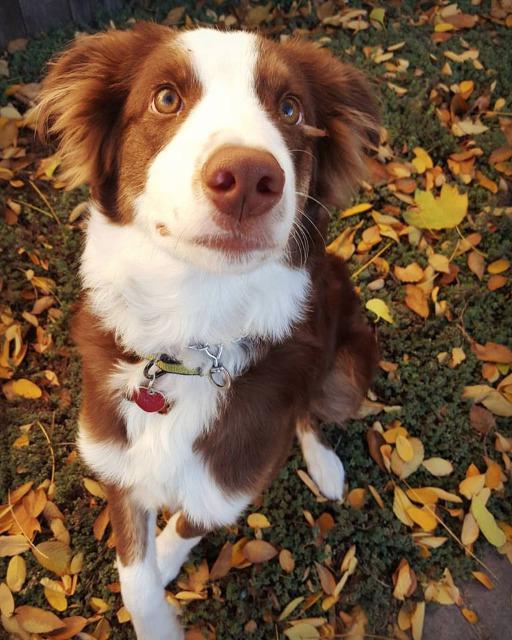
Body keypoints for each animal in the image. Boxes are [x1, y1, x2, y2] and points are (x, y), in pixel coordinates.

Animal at [37, 22, 380, 636]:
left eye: (290, 108)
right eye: (165, 98)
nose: (247, 177)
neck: (192, 337)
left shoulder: (229, 486)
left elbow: (186, 525)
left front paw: (170, 562)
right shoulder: (117, 464)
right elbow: (134, 583)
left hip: (343, 374)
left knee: (310, 410)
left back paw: (324, 465)